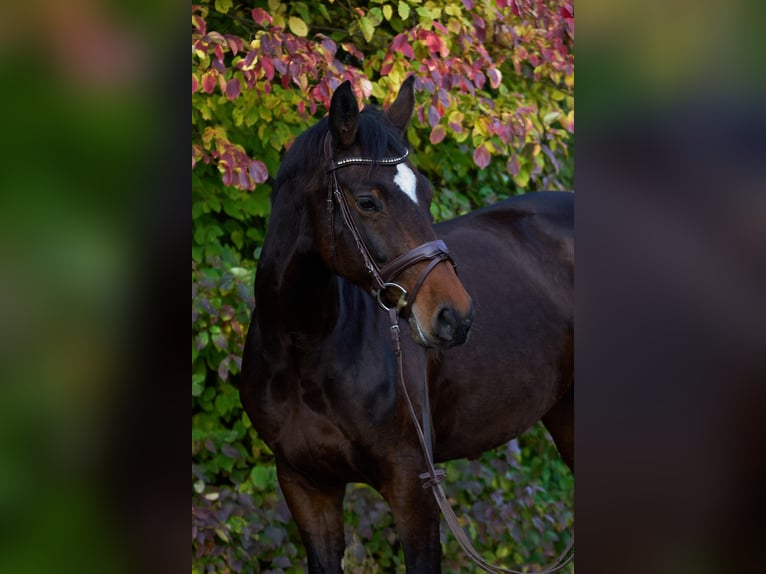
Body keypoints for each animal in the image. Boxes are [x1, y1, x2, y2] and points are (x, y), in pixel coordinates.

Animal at [240, 76, 573, 573]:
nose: (456, 316)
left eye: (428, 194)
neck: (304, 345)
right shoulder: (305, 486)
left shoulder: (413, 487)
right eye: (367, 202)